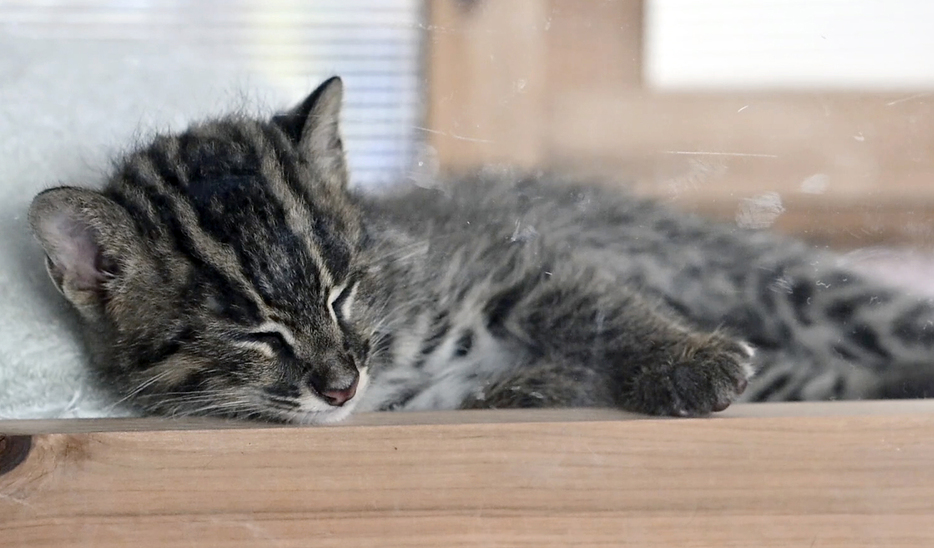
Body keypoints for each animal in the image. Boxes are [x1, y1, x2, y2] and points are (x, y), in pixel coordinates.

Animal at [25, 76, 932, 424]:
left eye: (342, 291)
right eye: (252, 331)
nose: (340, 384)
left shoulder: (512, 263)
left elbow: (600, 306)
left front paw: (683, 359)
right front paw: (537, 384)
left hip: (774, 280)